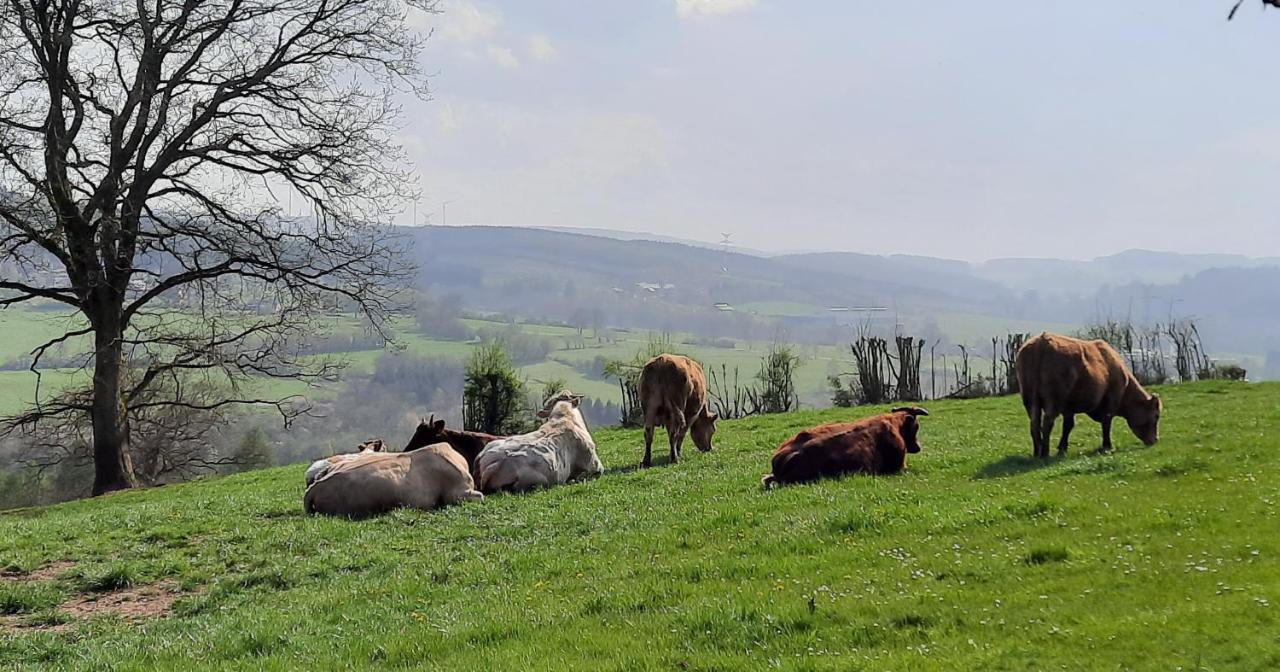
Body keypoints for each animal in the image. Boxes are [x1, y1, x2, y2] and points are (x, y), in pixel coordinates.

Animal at [1013, 330, 1167, 458]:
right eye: (1156, 415)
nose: (1155, 440)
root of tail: (1041, 341)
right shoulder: (1110, 401)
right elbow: (1106, 423)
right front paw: (1107, 446)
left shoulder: (1069, 407)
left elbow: (1068, 426)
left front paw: (1062, 448)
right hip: (1053, 400)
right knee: (1047, 424)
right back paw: (1044, 453)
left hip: (1030, 400)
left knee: (1034, 424)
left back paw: (1037, 452)